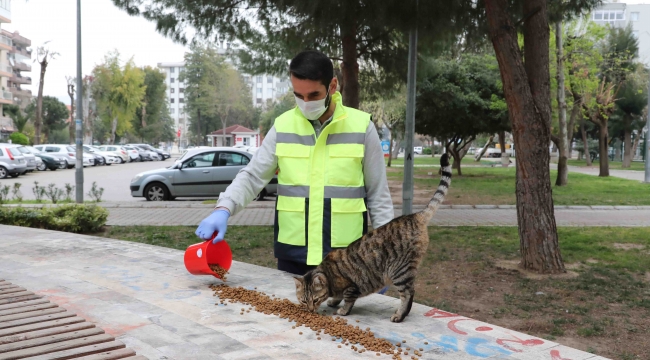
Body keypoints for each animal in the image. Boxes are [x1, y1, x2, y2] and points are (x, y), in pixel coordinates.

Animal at [294, 153, 450, 322]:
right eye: (304, 301)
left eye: (315, 300)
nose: (310, 310)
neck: (328, 275)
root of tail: (415, 216)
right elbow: (338, 297)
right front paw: (333, 301)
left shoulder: (352, 287)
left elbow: (348, 299)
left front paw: (342, 310)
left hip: (400, 272)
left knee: (408, 294)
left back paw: (400, 315)